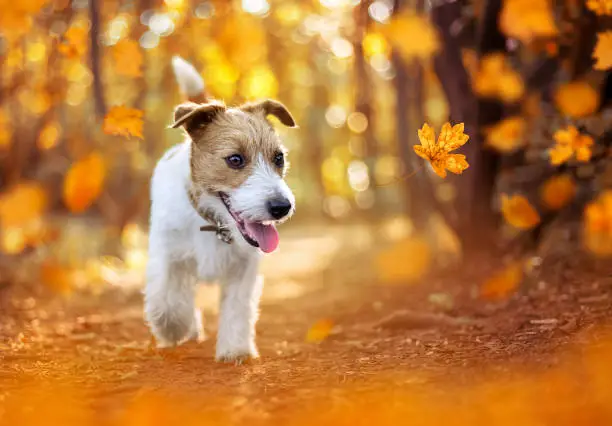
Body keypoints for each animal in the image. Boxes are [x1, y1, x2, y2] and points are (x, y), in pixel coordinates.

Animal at [144, 56, 296, 362]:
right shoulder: (169, 256)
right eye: (235, 159)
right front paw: (172, 327)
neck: (213, 223)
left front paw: (235, 349)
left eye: (278, 158)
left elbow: (237, 309)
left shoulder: (243, 269)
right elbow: (167, 298)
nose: (281, 207)